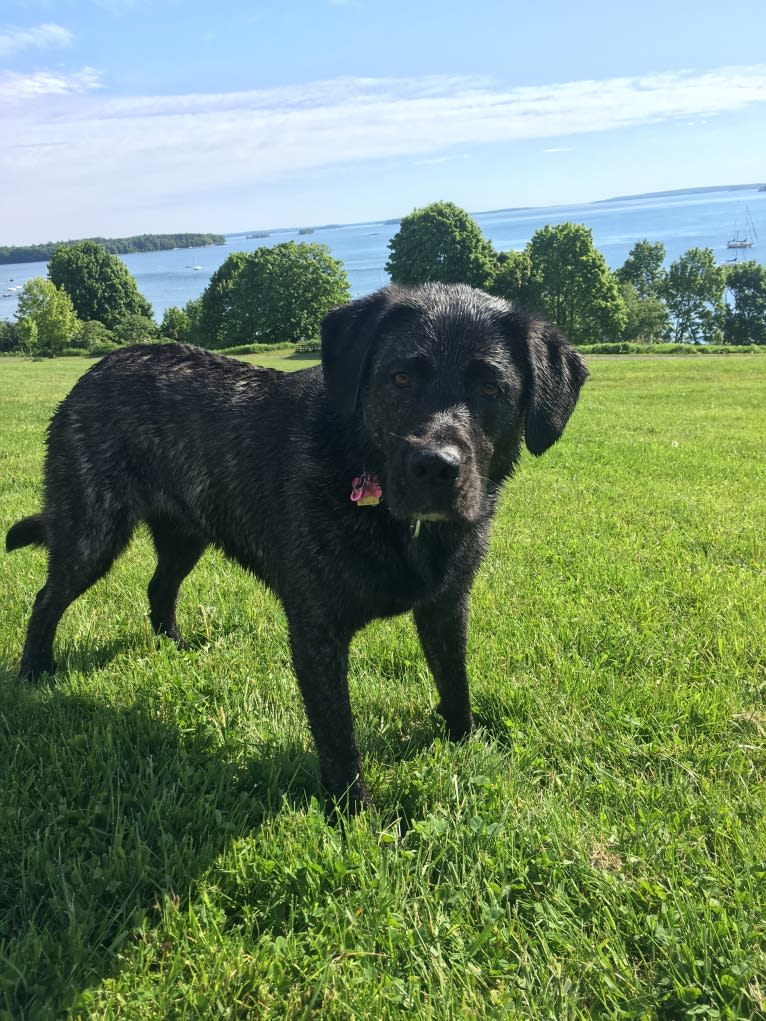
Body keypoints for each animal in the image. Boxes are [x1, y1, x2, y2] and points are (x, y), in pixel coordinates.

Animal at [6, 285, 588, 812]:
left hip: (186, 535)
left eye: (491, 388)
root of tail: (95, 370)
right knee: (47, 598)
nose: (435, 466)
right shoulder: (317, 632)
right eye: (401, 377)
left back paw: (173, 644)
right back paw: (34, 672)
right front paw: (353, 815)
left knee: (158, 586)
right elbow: (338, 737)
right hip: (92, 535)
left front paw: (465, 745)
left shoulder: (446, 607)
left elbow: (455, 684)